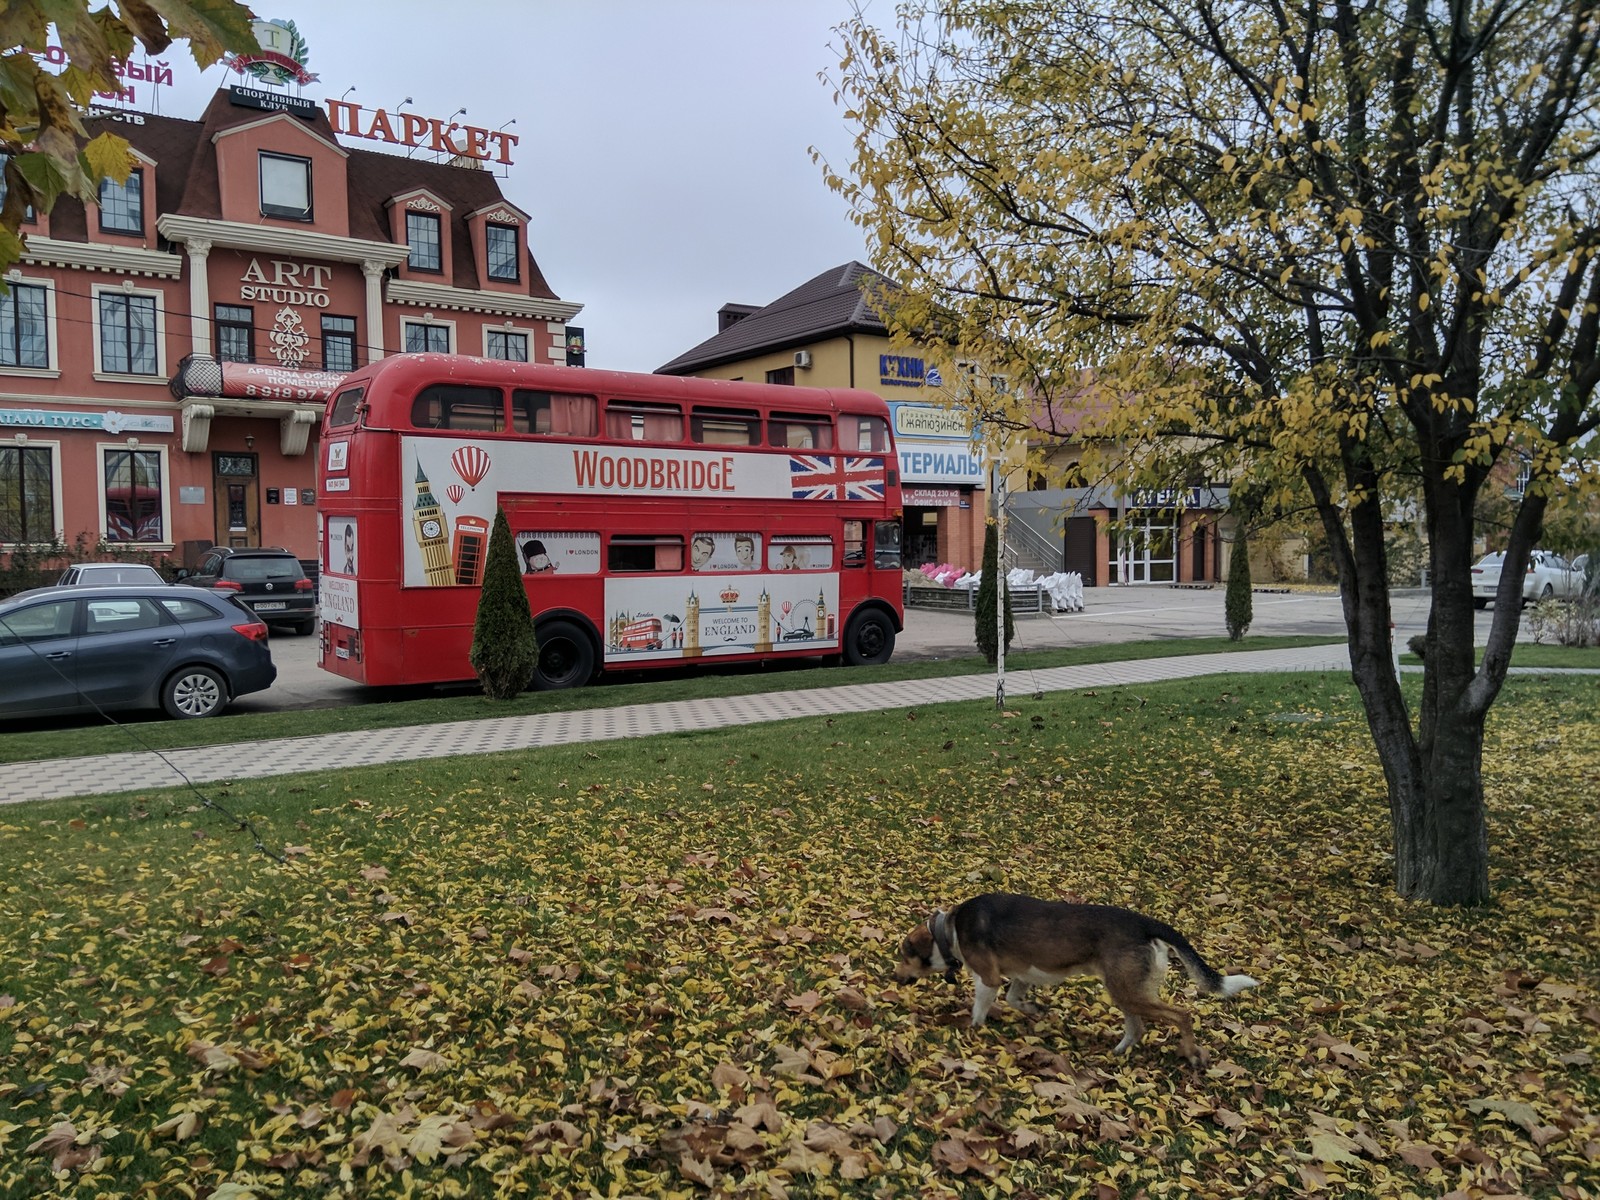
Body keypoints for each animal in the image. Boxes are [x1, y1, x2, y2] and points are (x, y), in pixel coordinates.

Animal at [896, 896, 1254, 1068]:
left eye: (903, 954)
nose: (895, 978)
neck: (949, 930)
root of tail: (1146, 923)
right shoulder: (1022, 975)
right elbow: (1015, 1000)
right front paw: (1034, 1010)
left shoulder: (988, 978)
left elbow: (979, 1009)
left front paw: (973, 1031)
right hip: (1125, 990)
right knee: (1137, 1028)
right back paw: (1117, 1052)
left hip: (1127, 991)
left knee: (1182, 1015)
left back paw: (1191, 1054)